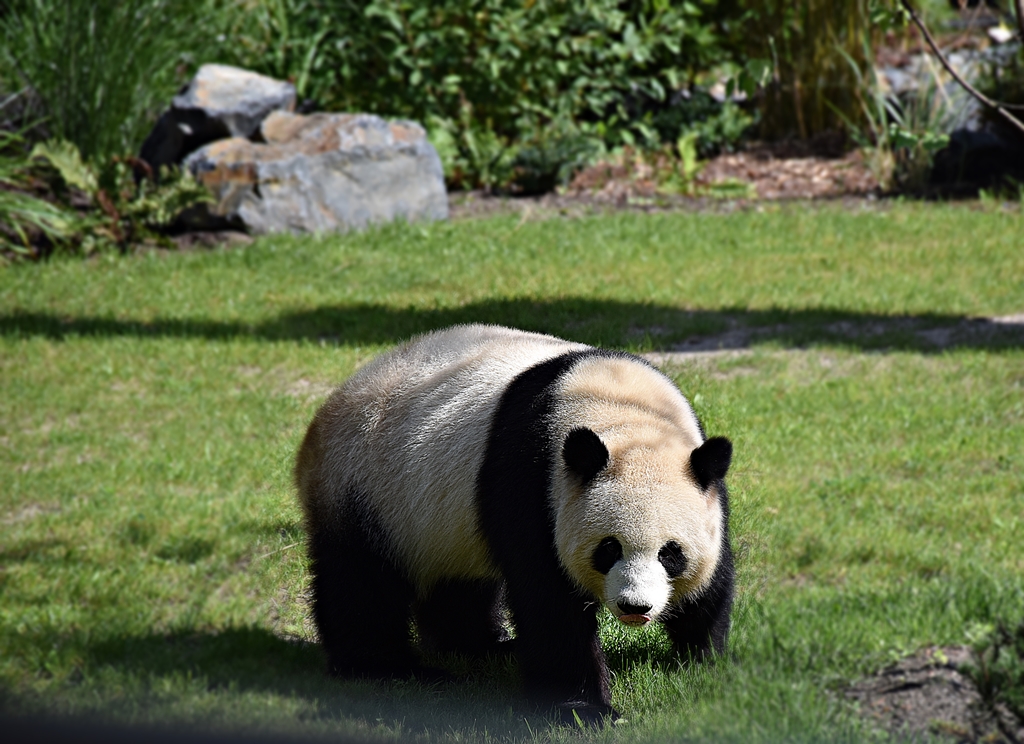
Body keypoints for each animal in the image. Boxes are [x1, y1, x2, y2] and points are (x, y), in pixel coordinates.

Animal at [294, 324, 734, 725]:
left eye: (670, 554)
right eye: (609, 548)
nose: (635, 607)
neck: (622, 414)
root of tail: (326, 413)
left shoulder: (704, 482)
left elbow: (714, 577)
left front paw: (702, 658)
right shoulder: (533, 483)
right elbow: (549, 602)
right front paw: (584, 709)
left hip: (438, 518)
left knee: (458, 584)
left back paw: (485, 647)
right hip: (367, 488)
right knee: (361, 584)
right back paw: (389, 669)